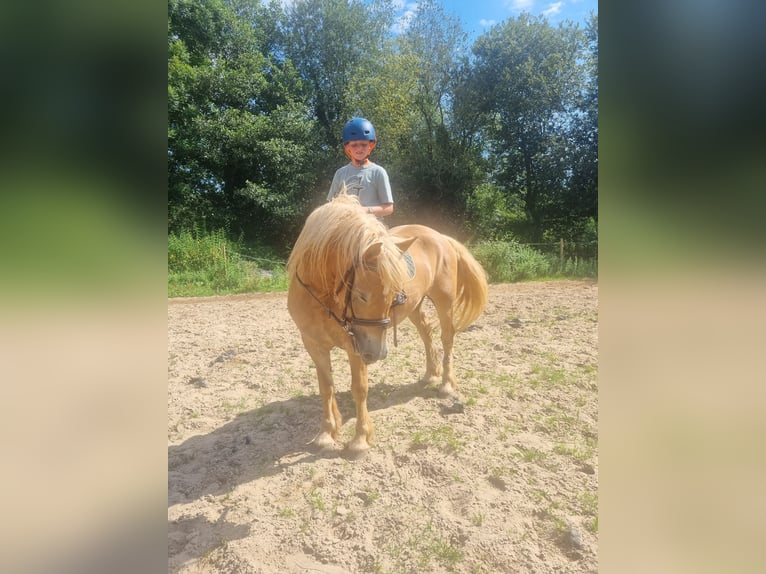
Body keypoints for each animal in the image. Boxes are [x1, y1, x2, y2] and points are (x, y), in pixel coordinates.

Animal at [284, 196, 488, 456]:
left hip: (444, 301)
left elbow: (359, 389)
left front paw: (360, 440)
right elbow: (326, 388)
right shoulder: (314, 344)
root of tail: (440, 236)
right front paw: (326, 435)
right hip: (414, 307)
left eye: (392, 295)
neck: (322, 296)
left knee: (447, 338)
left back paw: (445, 384)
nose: (377, 353)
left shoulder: (356, 346)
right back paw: (430, 375)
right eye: (361, 295)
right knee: (426, 333)